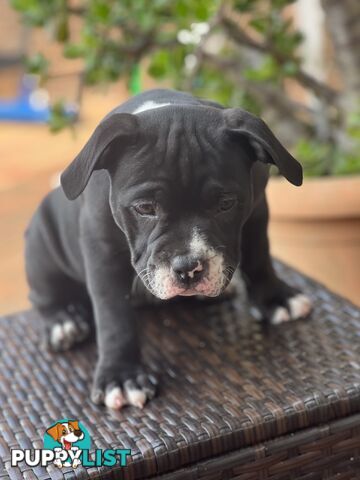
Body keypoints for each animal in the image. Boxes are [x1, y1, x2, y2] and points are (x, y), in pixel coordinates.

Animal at [24, 89, 312, 408]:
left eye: (226, 204)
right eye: (145, 208)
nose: (188, 268)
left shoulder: (257, 210)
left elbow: (260, 256)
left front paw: (276, 298)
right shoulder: (101, 252)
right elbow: (113, 314)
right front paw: (121, 375)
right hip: (42, 243)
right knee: (43, 295)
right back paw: (63, 322)